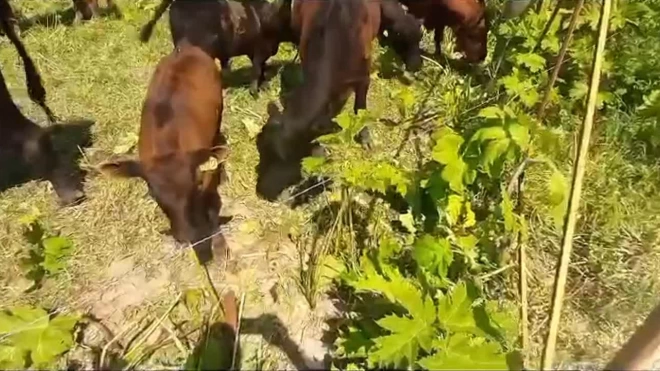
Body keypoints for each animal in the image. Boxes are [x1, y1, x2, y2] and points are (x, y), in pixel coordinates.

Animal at [98, 41, 229, 262]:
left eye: (194, 187)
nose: (184, 236)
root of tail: (184, 47)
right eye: (153, 194)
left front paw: (219, 246)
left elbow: (211, 204)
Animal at [141, 0, 296, 97]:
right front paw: (255, 92)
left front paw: (264, 86)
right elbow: (257, 71)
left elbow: (261, 69)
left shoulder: (254, 52)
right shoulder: (261, 51)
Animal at [258, 0, 382, 202]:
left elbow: (360, 107)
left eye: (289, 158)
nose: (264, 192)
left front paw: (365, 137)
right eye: (264, 151)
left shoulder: (364, 75)